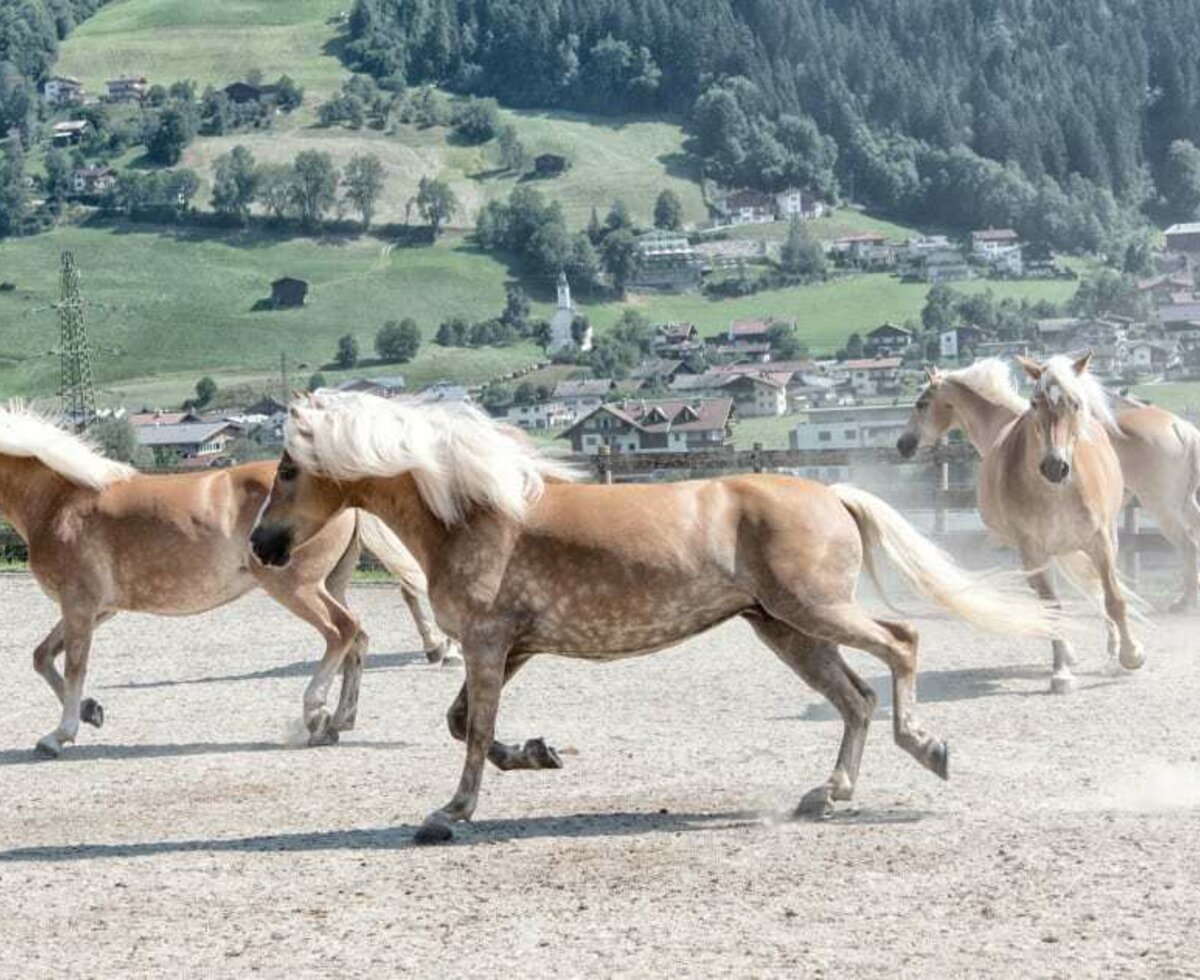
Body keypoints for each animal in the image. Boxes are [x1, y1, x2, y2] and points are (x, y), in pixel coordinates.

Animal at [0, 403, 451, 758]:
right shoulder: (98, 609)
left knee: (341, 630)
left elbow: (73, 666)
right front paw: (92, 711)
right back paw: (338, 721)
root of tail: (346, 497)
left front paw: (58, 735)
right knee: (357, 640)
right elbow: (42, 657)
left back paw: (315, 714)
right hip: (331, 584)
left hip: (296, 587)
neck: (60, 501)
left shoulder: (79, 605)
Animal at [250, 391, 1060, 839]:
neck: (474, 512)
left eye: (288, 469)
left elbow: (473, 731)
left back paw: (928, 747)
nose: (263, 545)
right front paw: (539, 754)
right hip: (785, 628)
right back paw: (827, 795)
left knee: (901, 644)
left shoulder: (486, 642)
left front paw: (450, 813)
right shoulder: (511, 647)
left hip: (814, 610)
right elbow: (463, 723)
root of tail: (832, 492)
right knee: (856, 697)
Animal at [902, 355, 1142, 690]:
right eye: (1035, 403)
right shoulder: (1033, 550)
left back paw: (1113, 649)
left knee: (1097, 589)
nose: (903, 444)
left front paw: (1131, 655)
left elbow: (1114, 598)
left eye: (921, 403)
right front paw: (1061, 672)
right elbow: (1052, 605)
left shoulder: (1100, 542)